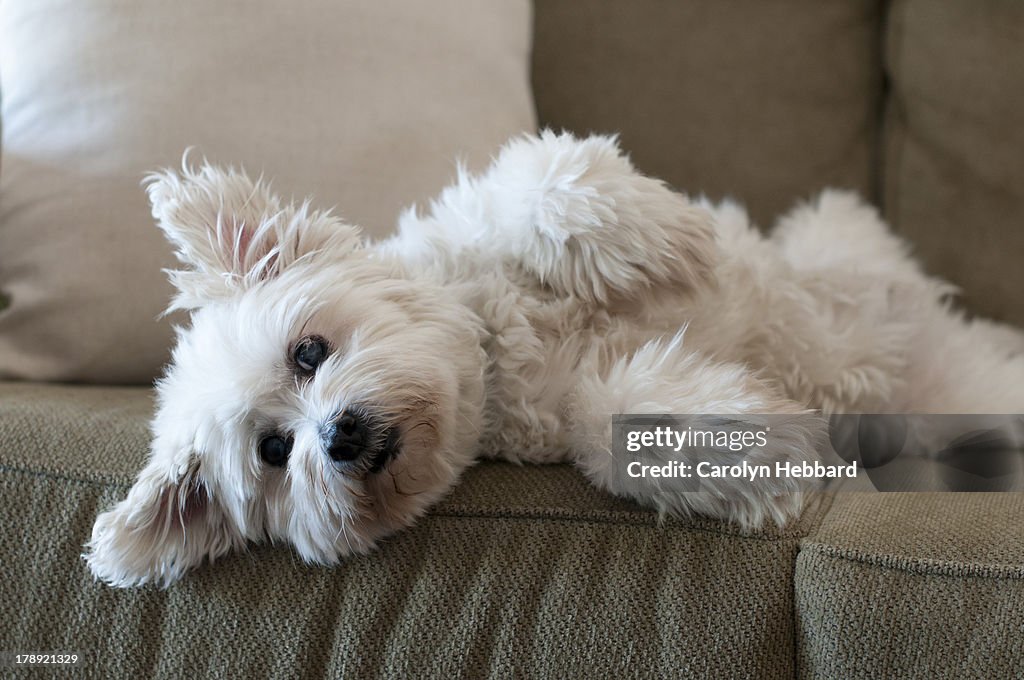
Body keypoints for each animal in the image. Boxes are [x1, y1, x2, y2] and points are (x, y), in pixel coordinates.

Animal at [86, 131, 1024, 585]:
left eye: (309, 351)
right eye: (274, 452)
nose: (339, 437)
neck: (499, 351)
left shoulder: (506, 213)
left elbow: (547, 184)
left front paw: (669, 243)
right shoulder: (572, 410)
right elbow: (623, 416)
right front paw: (759, 449)